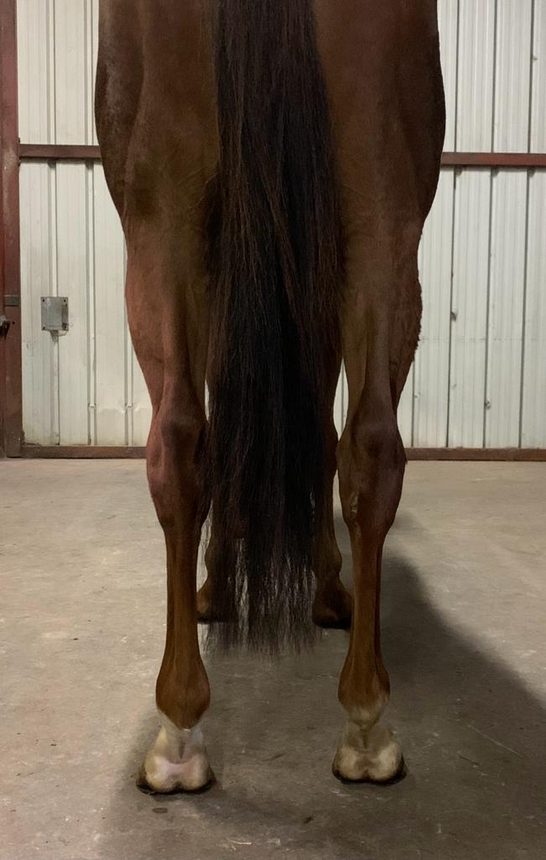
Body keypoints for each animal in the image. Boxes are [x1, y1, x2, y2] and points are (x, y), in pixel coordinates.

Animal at [95, 0, 445, 794]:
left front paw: (224, 585)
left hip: (163, 222)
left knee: (182, 444)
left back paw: (183, 729)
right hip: (381, 212)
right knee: (370, 447)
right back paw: (364, 724)